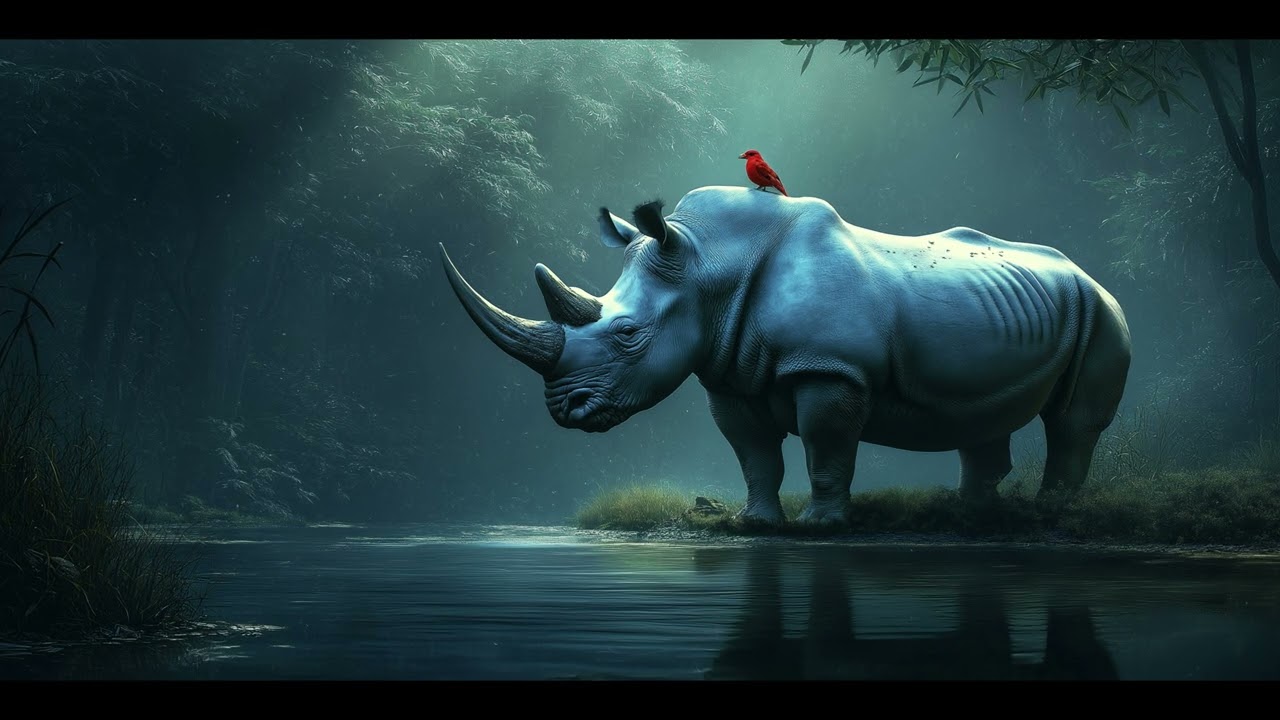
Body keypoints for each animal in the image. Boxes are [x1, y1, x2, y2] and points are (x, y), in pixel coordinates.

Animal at [439, 186, 1131, 525]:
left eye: (629, 335)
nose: (565, 410)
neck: (707, 263)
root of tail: (1085, 272)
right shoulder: (727, 373)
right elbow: (753, 457)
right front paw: (756, 524)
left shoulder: (831, 368)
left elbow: (826, 449)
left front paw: (822, 526)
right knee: (981, 418)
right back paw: (971, 517)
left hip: (1102, 309)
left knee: (1074, 422)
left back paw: (1054, 515)